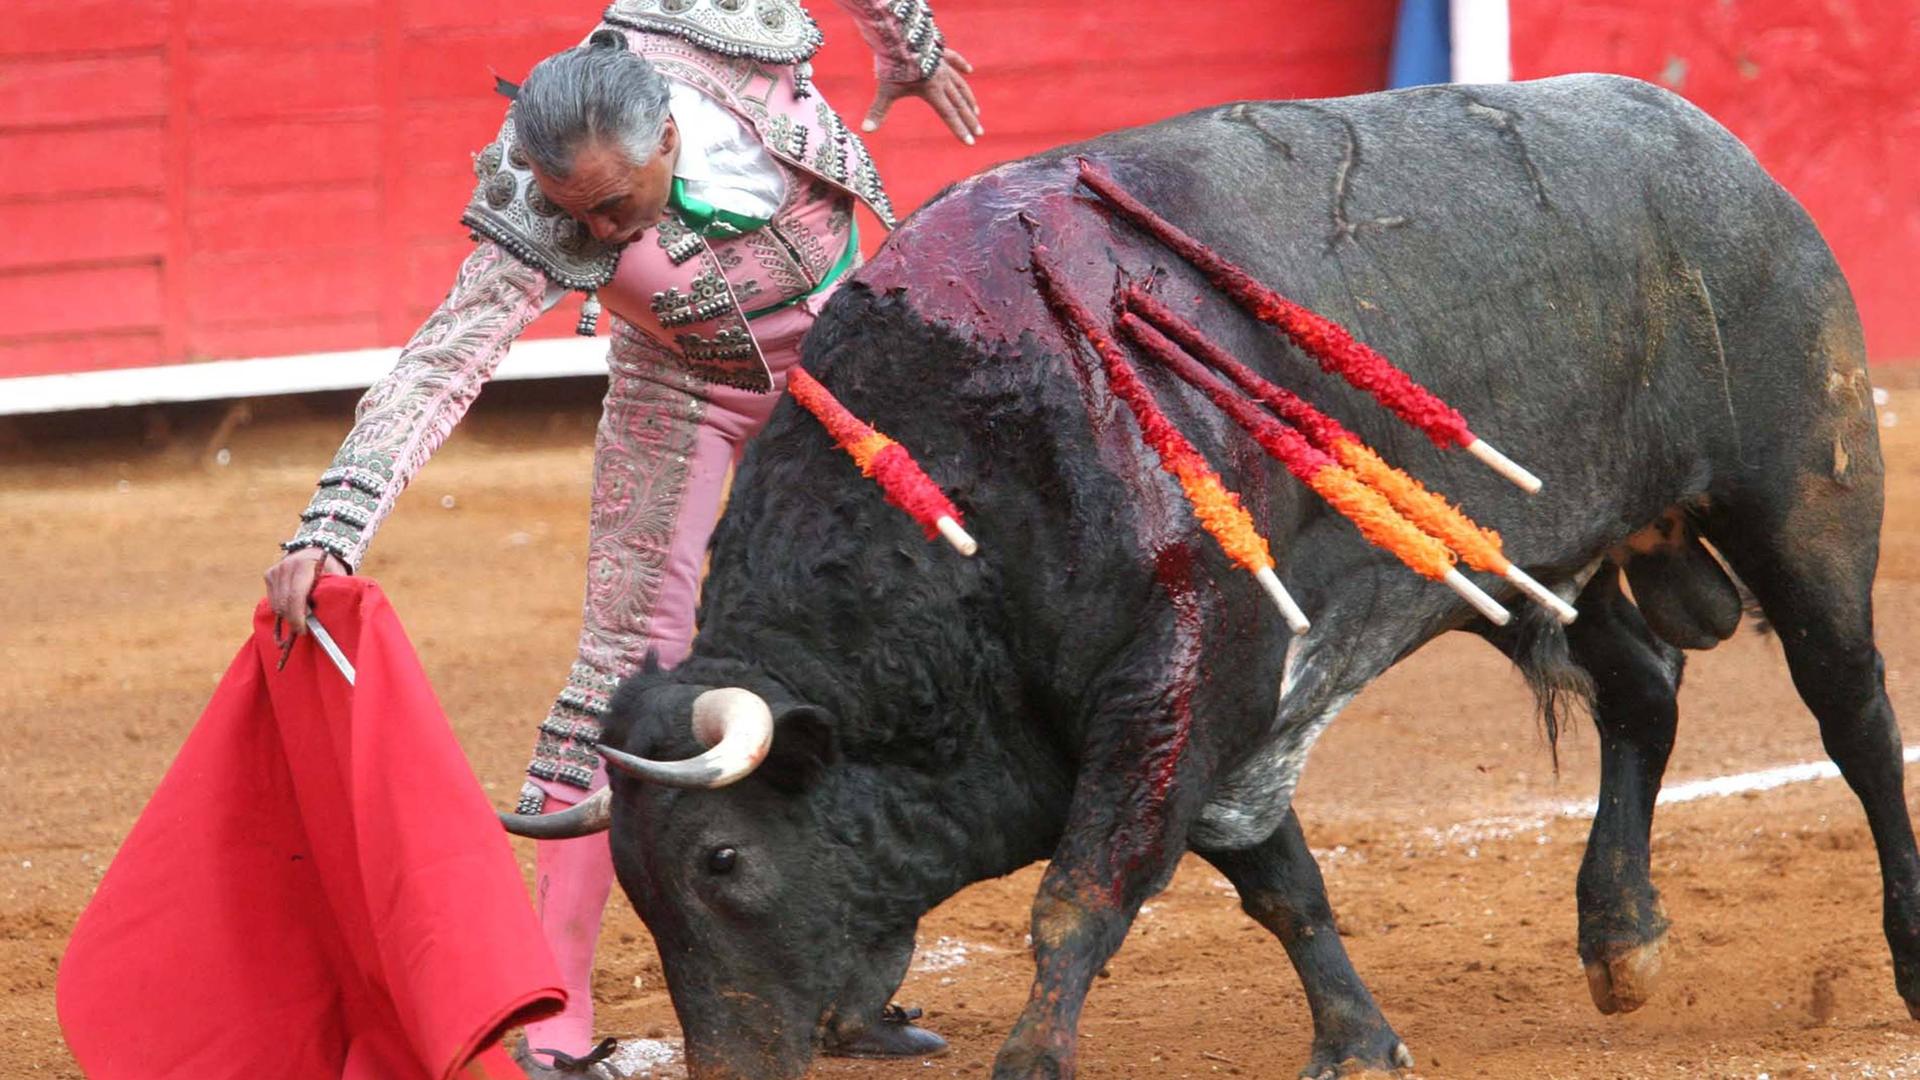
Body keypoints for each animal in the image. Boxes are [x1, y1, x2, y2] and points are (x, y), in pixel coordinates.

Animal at [503, 75, 1912, 1076]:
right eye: (636, 879)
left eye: (723, 861)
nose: (731, 1066)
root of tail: (1717, 146)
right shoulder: (1235, 697)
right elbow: (1277, 879)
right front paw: (1359, 1044)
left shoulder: (1182, 677)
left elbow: (1081, 896)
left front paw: (1033, 1065)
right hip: (1525, 564)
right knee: (1644, 691)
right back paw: (1621, 940)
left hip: (1805, 499)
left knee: (1853, 714)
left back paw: (1899, 954)